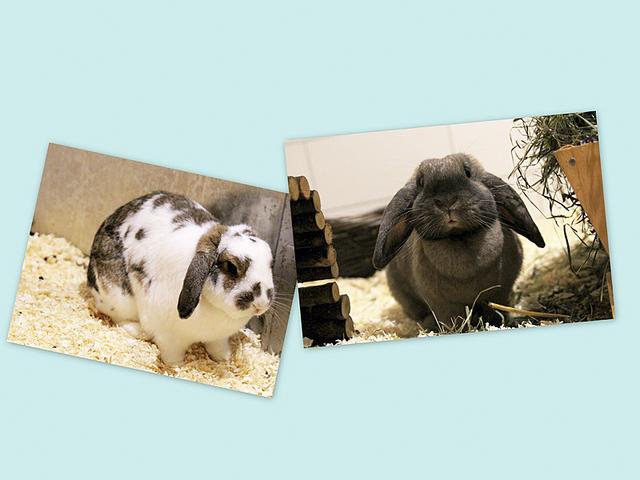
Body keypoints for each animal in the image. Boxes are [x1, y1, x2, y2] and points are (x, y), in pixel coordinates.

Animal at [86, 191, 275, 365]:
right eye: (231, 267)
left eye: (270, 262)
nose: (260, 304)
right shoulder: (170, 339)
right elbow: (172, 355)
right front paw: (177, 366)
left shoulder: (218, 339)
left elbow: (218, 348)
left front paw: (224, 359)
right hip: (117, 298)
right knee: (119, 317)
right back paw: (135, 329)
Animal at [372, 153, 545, 331]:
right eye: (421, 182)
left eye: (467, 172)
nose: (447, 201)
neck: (460, 237)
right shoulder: (441, 303)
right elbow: (453, 320)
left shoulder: (499, 293)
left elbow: (496, 311)